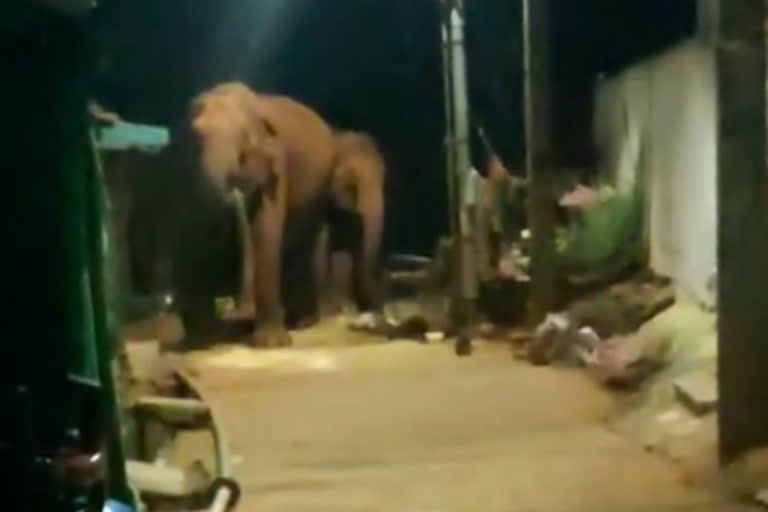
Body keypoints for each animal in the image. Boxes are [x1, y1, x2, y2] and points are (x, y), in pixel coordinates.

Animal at [189, 82, 336, 348]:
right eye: (195, 136)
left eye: (244, 140)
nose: (235, 308)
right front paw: (205, 339)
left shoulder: (277, 164)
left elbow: (265, 232)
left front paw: (271, 344)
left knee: (304, 245)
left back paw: (302, 322)